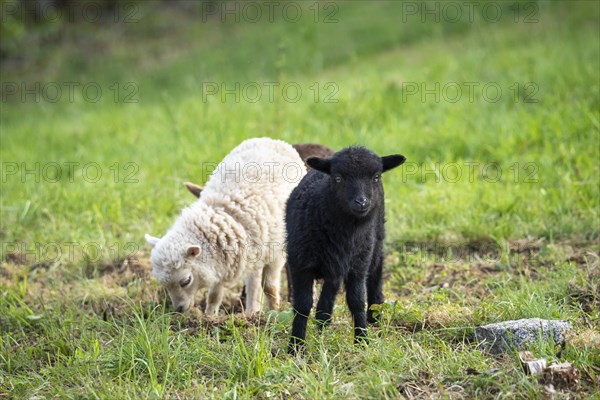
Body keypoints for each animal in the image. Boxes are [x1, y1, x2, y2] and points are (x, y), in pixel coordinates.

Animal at [144, 138, 304, 316]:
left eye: (186, 280)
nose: (179, 309)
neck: (224, 213)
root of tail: (270, 139)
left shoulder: (264, 254)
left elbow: (261, 287)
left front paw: (258, 314)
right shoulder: (220, 261)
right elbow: (214, 295)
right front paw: (209, 317)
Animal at [288, 145, 408, 354]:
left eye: (376, 176)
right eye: (338, 178)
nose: (361, 202)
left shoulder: (358, 265)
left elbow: (357, 301)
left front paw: (362, 340)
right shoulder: (300, 264)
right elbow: (302, 305)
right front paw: (295, 346)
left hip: (375, 240)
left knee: (376, 270)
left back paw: (374, 314)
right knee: (330, 289)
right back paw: (323, 322)